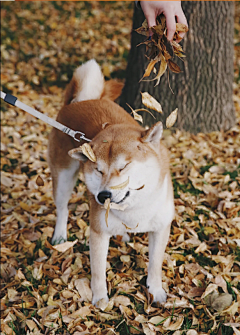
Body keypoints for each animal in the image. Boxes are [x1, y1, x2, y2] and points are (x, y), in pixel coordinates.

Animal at [47, 59, 174, 308]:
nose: (102, 196)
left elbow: (155, 265)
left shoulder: (161, 228)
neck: (134, 209)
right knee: (62, 208)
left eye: (123, 167)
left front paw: (155, 291)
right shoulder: (97, 233)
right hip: (63, 178)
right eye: (98, 170)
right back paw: (60, 235)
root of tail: (79, 101)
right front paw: (100, 299)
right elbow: (98, 272)